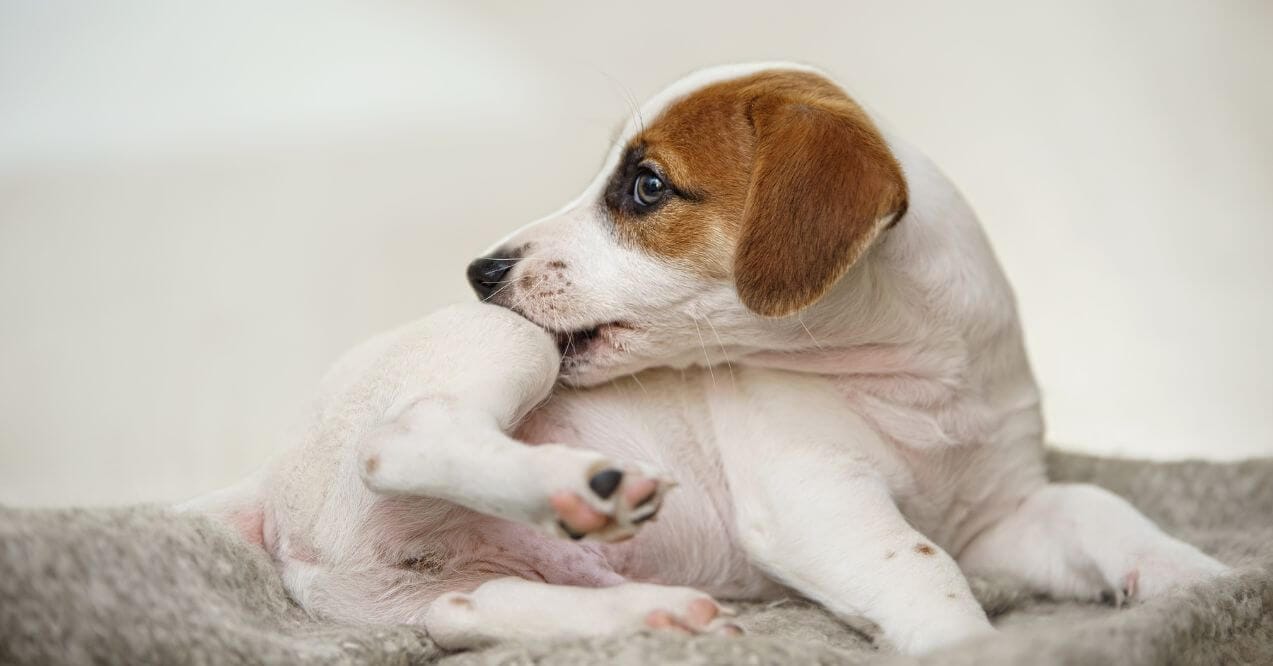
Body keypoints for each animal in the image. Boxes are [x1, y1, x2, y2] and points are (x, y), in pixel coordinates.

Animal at [184, 63, 1227, 657]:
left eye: (646, 187)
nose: (480, 271)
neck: (916, 381)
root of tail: (269, 481)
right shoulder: (815, 500)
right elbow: (921, 566)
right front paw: (966, 644)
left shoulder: (1000, 515)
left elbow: (1100, 509)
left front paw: (1197, 581)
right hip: (504, 347)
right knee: (404, 438)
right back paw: (580, 487)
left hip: (434, 587)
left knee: (467, 612)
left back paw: (651, 616)